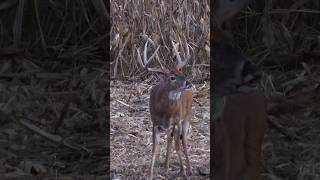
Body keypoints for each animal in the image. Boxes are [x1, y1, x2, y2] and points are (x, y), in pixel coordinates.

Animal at [137, 36, 192, 179]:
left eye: (182, 73)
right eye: (172, 77)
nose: (188, 84)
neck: (166, 112)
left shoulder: (176, 121)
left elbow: (177, 146)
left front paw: (183, 171)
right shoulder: (155, 123)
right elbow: (154, 149)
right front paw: (150, 174)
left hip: (187, 117)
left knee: (183, 141)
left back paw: (188, 169)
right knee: (170, 139)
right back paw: (168, 167)